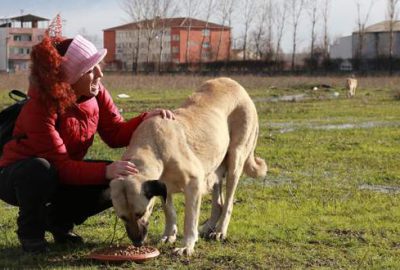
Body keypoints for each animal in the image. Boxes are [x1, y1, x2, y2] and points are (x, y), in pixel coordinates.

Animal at [108, 77, 268, 255]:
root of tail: (234, 83)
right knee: (218, 203)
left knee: (228, 203)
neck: (153, 147)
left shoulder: (194, 183)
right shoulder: (163, 187)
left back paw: (220, 231)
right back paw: (208, 227)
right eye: (122, 217)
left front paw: (187, 245)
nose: (137, 243)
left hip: (235, 160)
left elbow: (189, 219)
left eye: (140, 213)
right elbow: (169, 210)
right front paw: (169, 235)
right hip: (214, 168)